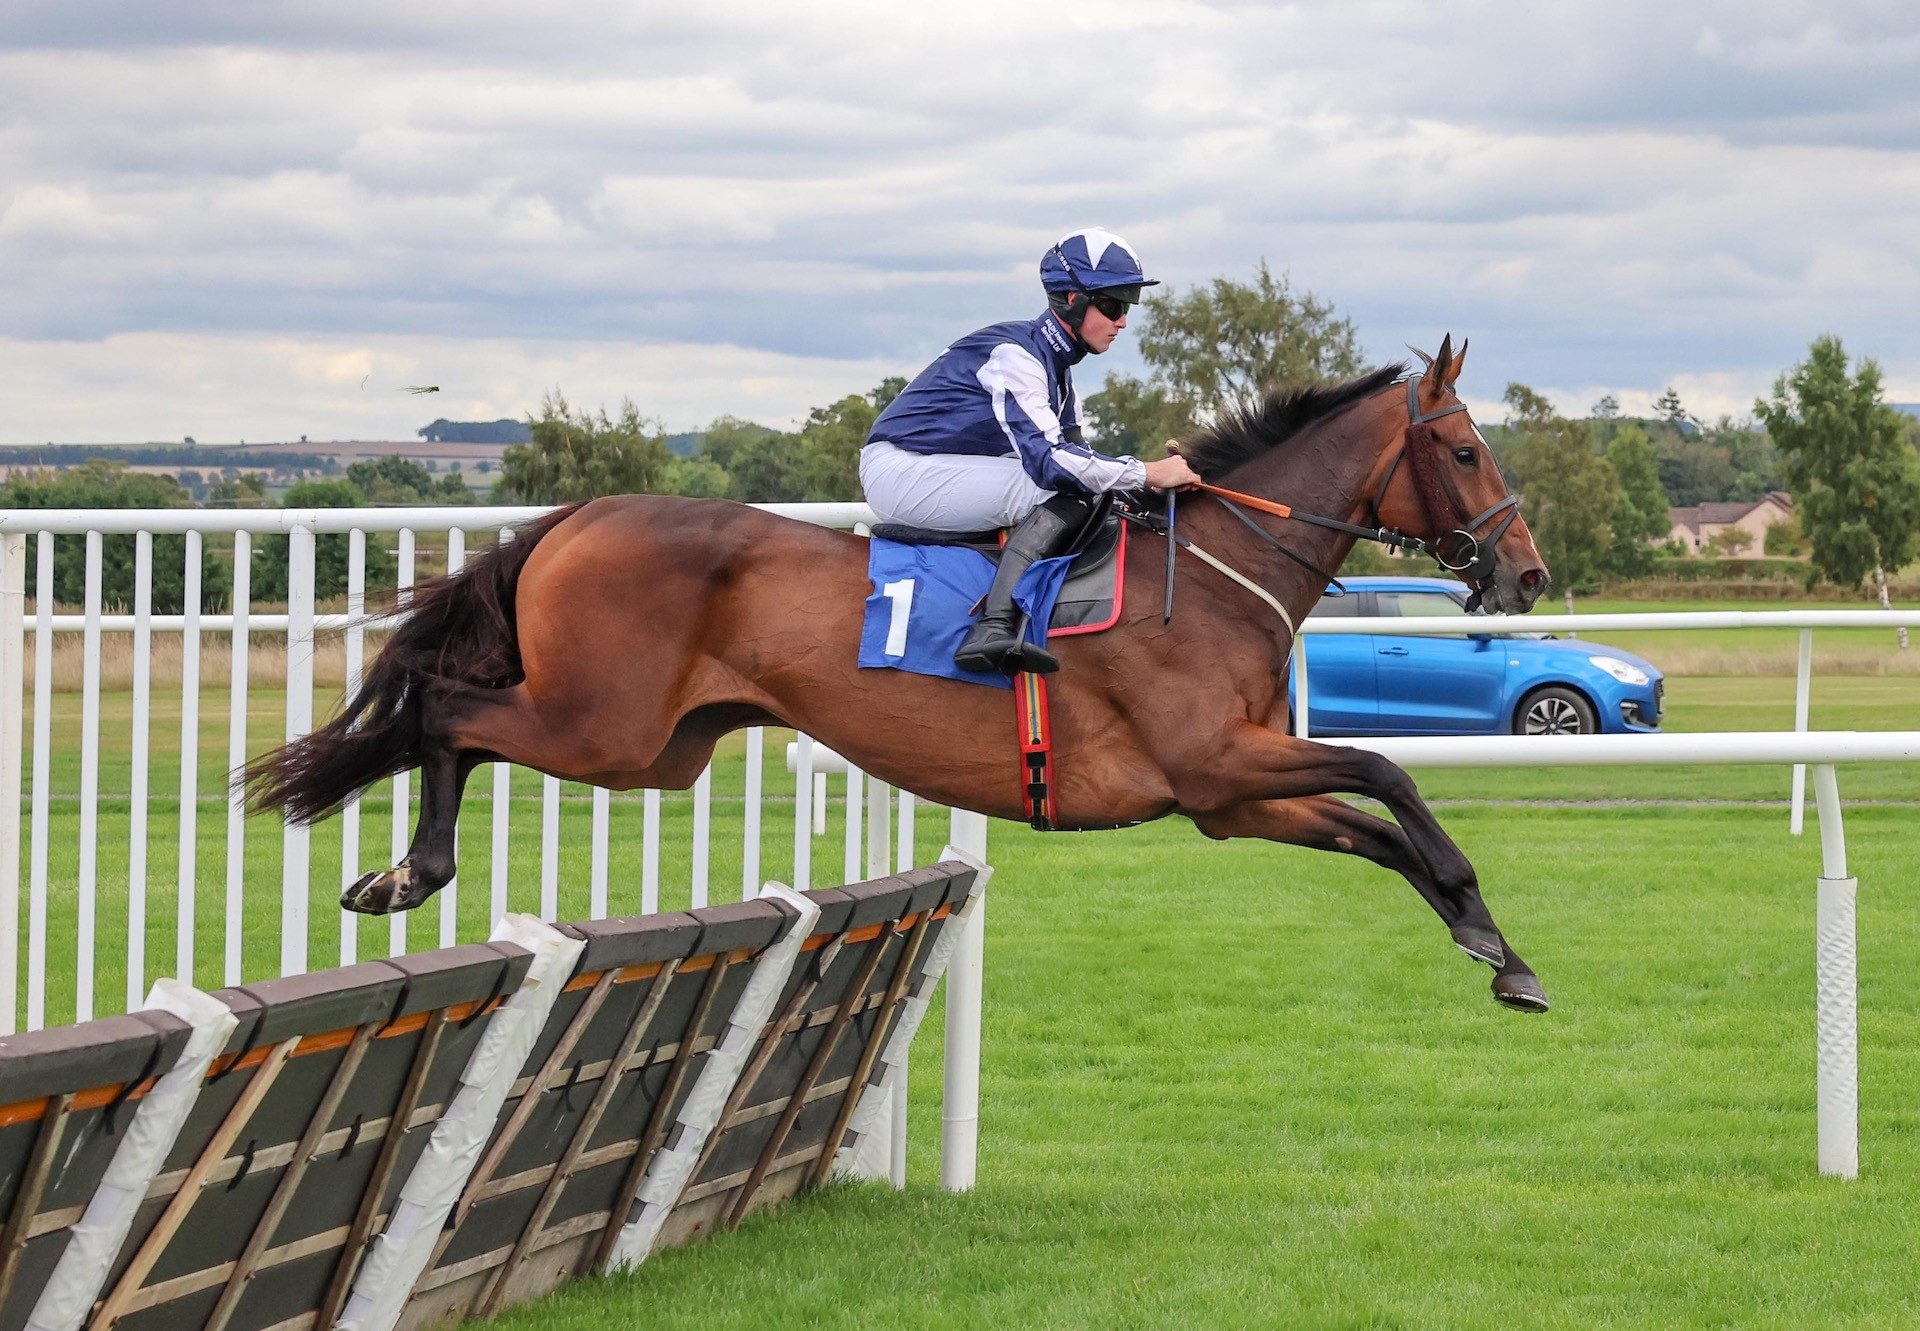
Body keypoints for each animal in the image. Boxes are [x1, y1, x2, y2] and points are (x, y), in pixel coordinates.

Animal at [247, 339, 1551, 1006]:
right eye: (1463, 447)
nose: (1527, 573)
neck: (1221, 564)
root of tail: (582, 512)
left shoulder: (1230, 797)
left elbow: (1376, 824)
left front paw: (1496, 947)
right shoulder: (1215, 760)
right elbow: (1390, 769)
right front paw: (1491, 927)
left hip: (655, 749)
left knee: (456, 715)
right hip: (596, 724)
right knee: (447, 708)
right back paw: (409, 873)